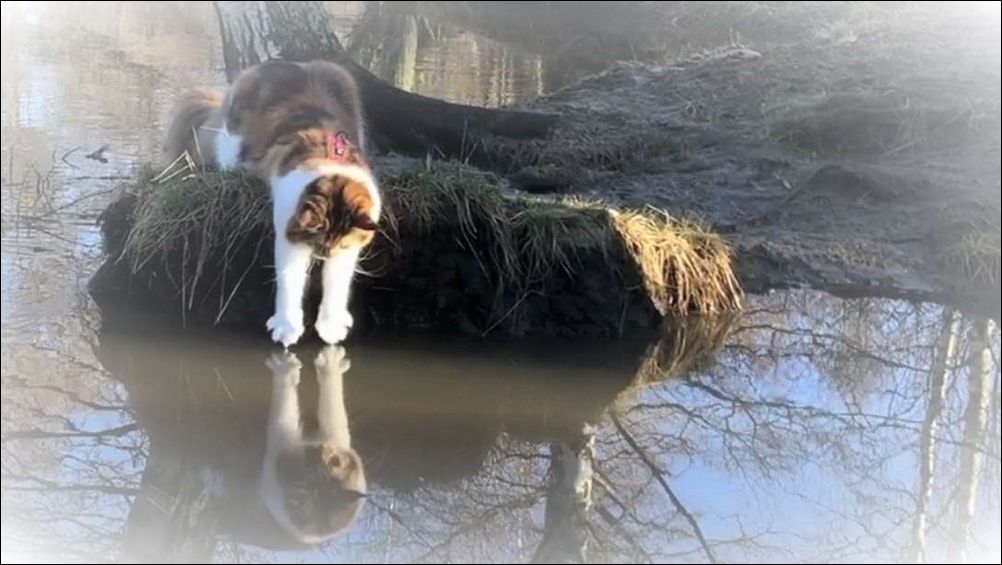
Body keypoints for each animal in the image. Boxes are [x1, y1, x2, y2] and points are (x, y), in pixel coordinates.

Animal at [165, 60, 380, 346]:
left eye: (339, 245)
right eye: (318, 243)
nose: (324, 255)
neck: (329, 160)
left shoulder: (347, 248)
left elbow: (337, 285)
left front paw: (331, 326)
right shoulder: (290, 233)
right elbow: (290, 281)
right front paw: (287, 328)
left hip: (341, 77)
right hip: (231, 141)